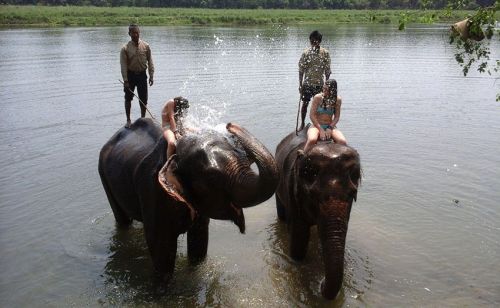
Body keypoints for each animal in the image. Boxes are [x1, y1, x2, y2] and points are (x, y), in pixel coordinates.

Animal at [97, 119, 278, 282]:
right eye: (212, 177)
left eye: (245, 158)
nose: (230, 125)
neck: (174, 153)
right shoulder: (152, 190)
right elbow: (162, 249)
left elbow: (199, 241)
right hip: (103, 174)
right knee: (122, 219)